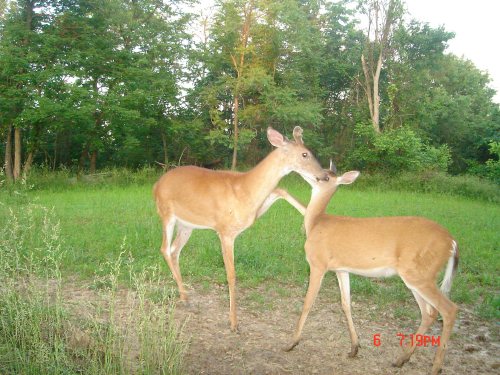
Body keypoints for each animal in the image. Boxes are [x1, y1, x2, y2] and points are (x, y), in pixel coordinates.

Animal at [154, 127, 328, 332]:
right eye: (305, 154)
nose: (325, 175)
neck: (244, 189)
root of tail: (156, 185)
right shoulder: (225, 231)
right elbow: (231, 274)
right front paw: (234, 322)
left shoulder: (251, 214)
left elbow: (280, 190)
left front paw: (308, 214)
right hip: (167, 213)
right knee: (164, 248)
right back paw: (184, 294)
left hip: (187, 225)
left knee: (175, 250)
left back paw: (184, 296)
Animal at [288, 164, 458, 375]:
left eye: (326, 177)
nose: (310, 172)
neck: (316, 223)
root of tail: (452, 242)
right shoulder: (341, 269)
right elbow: (345, 304)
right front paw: (354, 348)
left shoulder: (318, 263)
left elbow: (308, 303)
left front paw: (292, 343)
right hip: (416, 276)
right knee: (429, 313)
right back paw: (401, 359)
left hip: (420, 274)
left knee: (449, 309)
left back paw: (435, 367)